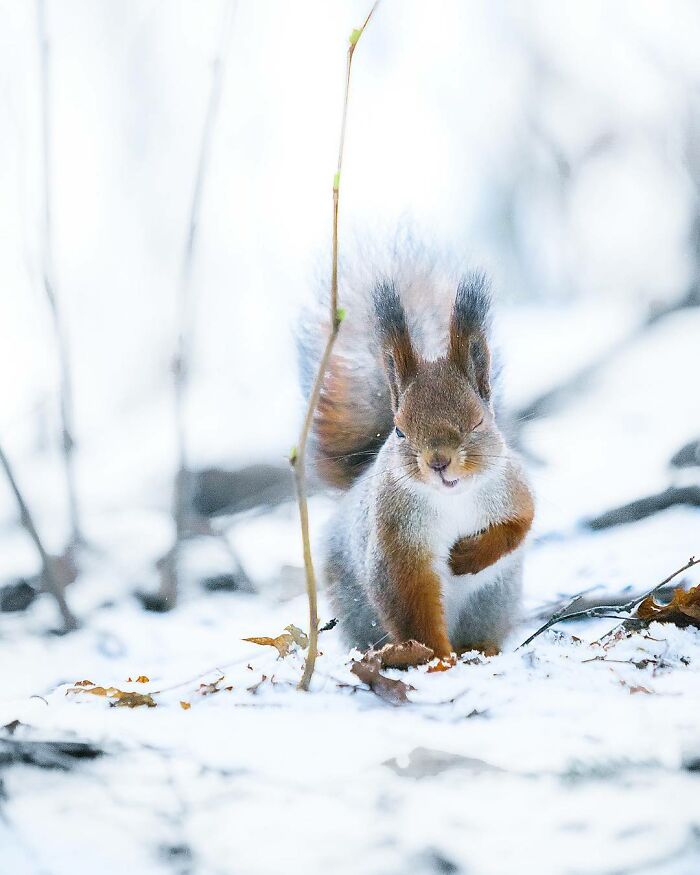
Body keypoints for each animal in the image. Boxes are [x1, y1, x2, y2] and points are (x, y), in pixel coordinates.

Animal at [298, 256, 534, 658]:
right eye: (399, 430)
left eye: (478, 421)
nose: (439, 461)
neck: (453, 499)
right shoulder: (397, 543)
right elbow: (411, 605)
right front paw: (436, 659)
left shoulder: (512, 487)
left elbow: (518, 526)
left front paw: (465, 558)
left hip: (491, 602)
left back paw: (481, 650)